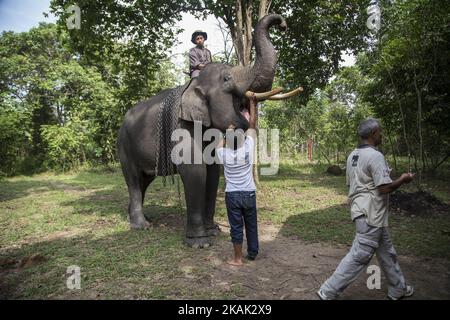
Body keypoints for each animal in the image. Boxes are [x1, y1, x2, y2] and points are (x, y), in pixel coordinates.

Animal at [118, 13, 288, 248]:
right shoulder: (183, 127)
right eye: (227, 78)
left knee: (144, 180)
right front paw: (200, 243)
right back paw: (141, 226)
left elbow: (213, 171)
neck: (194, 85)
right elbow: (196, 171)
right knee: (133, 179)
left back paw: (143, 219)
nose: (283, 23)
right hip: (124, 147)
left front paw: (214, 231)